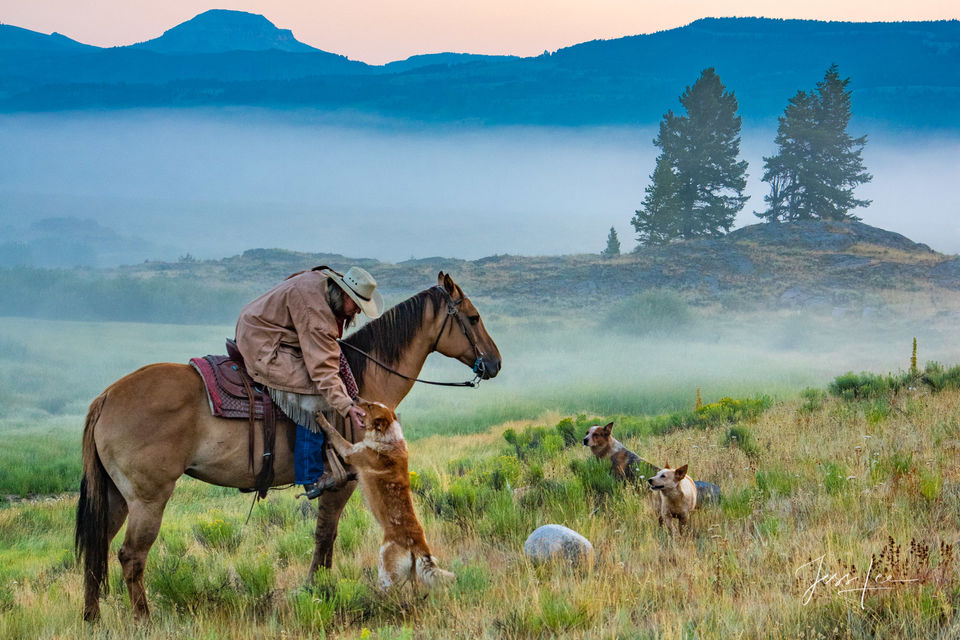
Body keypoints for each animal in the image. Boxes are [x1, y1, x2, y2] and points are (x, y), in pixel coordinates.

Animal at [316, 400, 450, 592]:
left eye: (369, 406)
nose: (354, 399)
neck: (388, 438)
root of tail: (419, 545)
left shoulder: (350, 451)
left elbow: (334, 433)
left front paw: (321, 419)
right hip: (412, 576)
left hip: (385, 572)